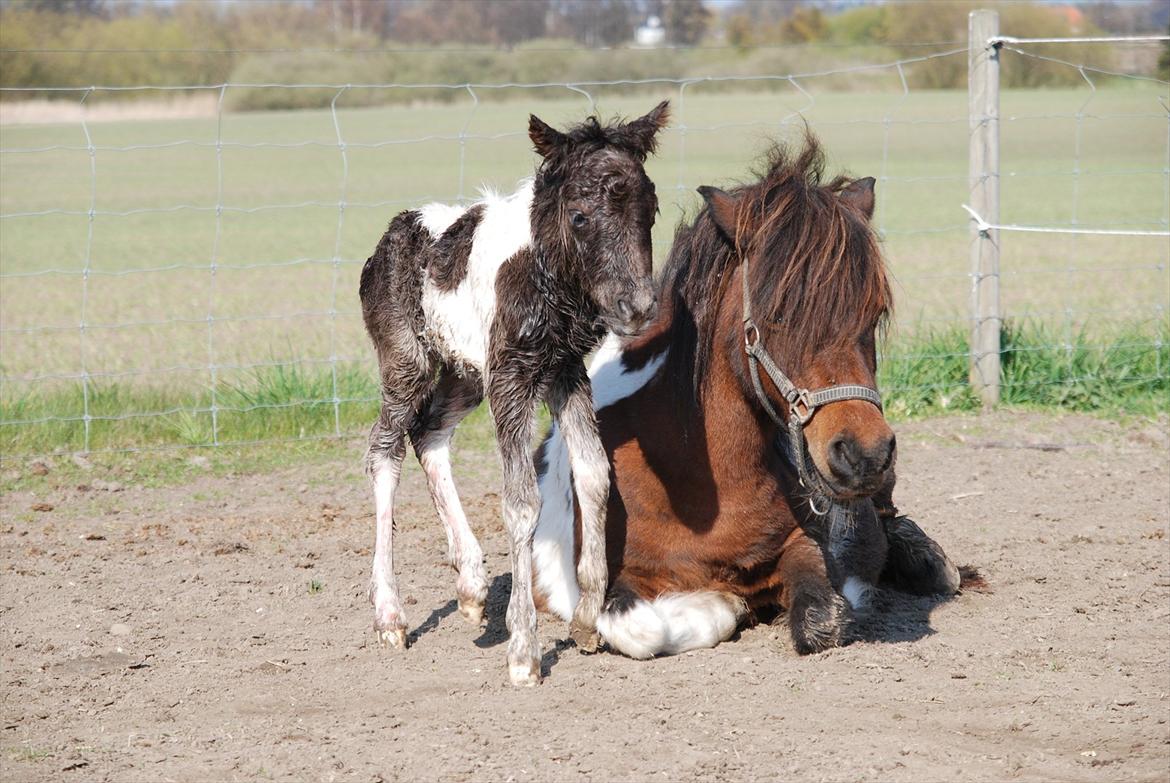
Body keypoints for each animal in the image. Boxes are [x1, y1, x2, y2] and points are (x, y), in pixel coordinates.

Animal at [358, 102, 669, 683]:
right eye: (580, 217)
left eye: (652, 210)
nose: (637, 308)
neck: (548, 278)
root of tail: (391, 235)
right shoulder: (513, 377)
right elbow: (523, 501)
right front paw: (524, 649)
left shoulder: (564, 371)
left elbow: (594, 474)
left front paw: (587, 620)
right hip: (409, 362)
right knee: (384, 449)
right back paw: (390, 615)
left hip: (464, 373)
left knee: (428, 434)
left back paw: (472, 586)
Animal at [531, 135, 959, 660]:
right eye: (776, 314)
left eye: (874, 312)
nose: (865, 453)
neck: (694, 487)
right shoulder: (599, 588)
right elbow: (643, 627)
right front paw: (727, 602)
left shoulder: (803, 541)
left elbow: (822, 617)